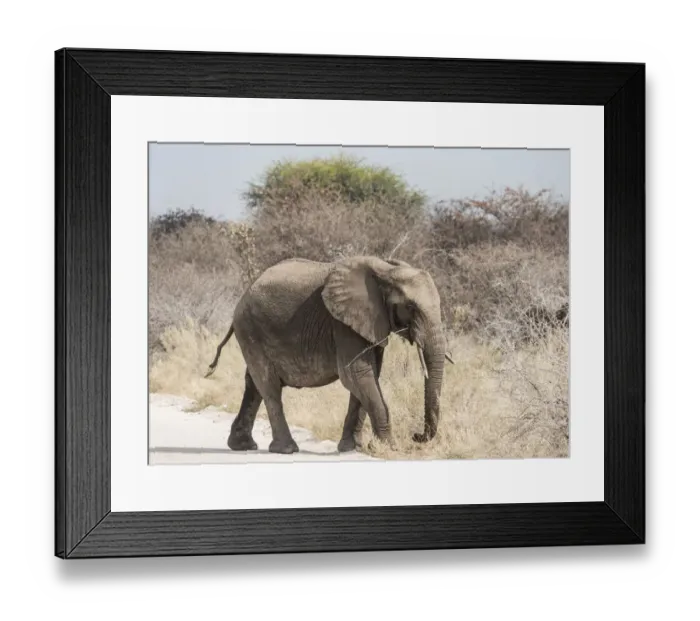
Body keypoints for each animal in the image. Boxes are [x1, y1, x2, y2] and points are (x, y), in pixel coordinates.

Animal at [204, 255, 450, 455]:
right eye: (410, 307)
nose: (416, 436)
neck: (386, 270)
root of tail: (243, 296)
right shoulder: (342, 324)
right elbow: (356, 374)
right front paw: (389, 447)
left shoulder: (370, 323)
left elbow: (369, 376)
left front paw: (353, 448)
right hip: (250, 328)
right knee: (269, 385)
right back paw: (286, 449)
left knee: (253, 384)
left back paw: (242, 446)